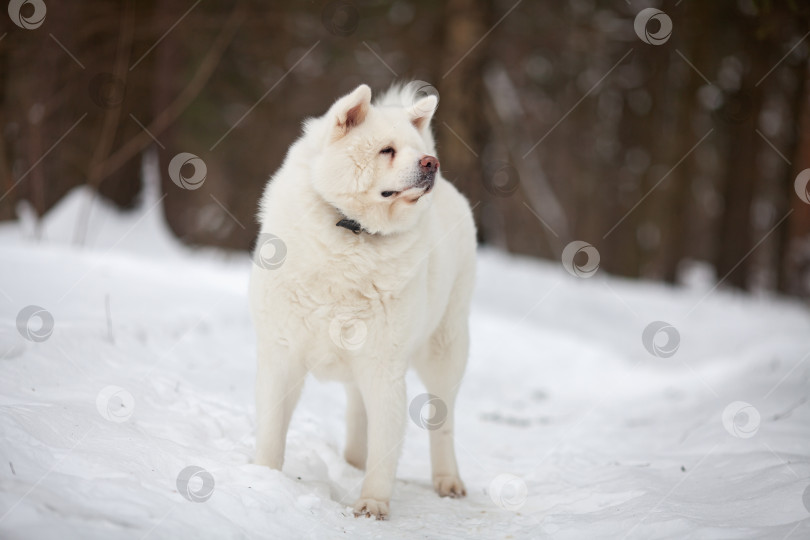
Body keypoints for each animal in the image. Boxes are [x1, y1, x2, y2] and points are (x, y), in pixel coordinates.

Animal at [246, 82, 474, 520]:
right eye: (387, 150)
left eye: (416, 149)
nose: (431, 163)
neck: (352, 231)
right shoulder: (281, 353)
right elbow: (270, 431)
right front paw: (263, 479)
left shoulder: (384, 366)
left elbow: (386, 446)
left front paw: (372, 504)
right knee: (356, 408)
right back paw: (352, 460)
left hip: (445, 352)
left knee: (444, 421)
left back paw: (448, 480)